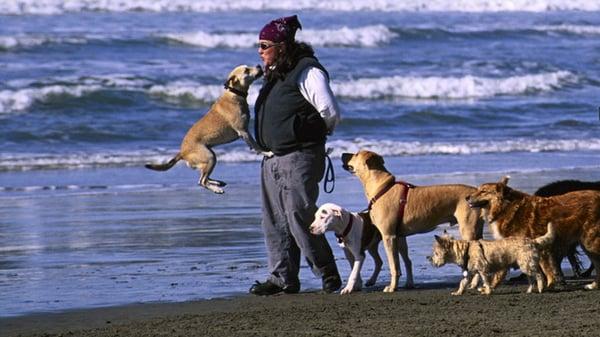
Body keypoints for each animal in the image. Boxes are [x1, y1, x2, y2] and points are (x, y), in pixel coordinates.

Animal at [145, 64, 272, 193]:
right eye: (246, 70)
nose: (259, 65)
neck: (234, 94)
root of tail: (182, 152)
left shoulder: (244, 132)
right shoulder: (244, 131)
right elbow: (256, 145)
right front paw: (266, 152)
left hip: (210, 157)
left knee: (204, 177)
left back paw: (217, 182)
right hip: (210, 157)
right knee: (202, 181)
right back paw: (216, 189)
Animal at [340, 150, 486, 292]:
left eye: (356, 154)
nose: (342, 154)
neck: (382, 187)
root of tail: (476, 192)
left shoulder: (389, 236)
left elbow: (394, 266)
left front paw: (392, 287)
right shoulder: (399, 236)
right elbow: (406, 261)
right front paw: (408, 283)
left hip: (468, 230)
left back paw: (473, 283)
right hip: (476, 229)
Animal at [428, 223, 556, 294]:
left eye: (435, 253)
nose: (429, 259)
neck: (465, 251)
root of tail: (532, 241)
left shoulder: (483, 269)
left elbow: (486, 281)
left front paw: (487, 291)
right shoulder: (469, 272)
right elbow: (462, 282)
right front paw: (458, 292)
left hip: (526, 265)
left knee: (538, 275)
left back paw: (540, 288)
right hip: (526, 265)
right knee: (531, 279)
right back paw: (529, 290)